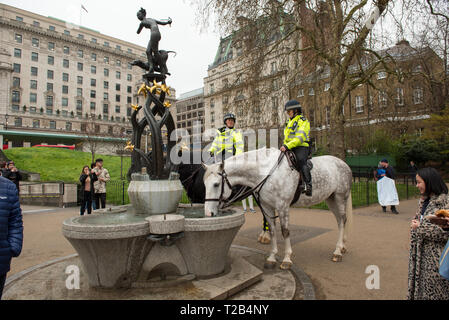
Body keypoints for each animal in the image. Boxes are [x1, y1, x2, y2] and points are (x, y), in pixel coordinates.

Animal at [203, 148, 354, 270]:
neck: (266, 172)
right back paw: (342, 246)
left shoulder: (283, 207)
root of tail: (343, 163)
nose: (208, 213)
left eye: (216, 184)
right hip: (331, 199)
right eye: (204, 184)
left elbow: (285, 231)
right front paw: (272, 257)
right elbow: (272, 230)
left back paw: (337, 251)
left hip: (340, 197)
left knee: (342, 220)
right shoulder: (267, 206)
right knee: (340, 221)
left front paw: (287, 259)